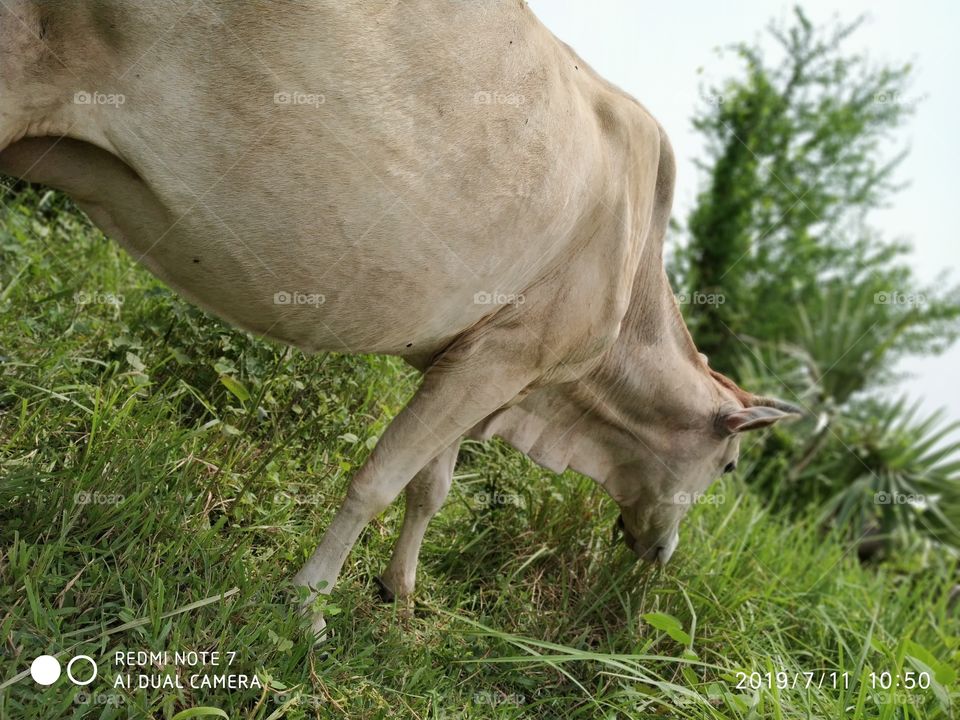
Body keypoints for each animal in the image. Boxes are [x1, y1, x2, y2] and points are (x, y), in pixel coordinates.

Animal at [0, 0, 800, 638]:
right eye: (730, 466)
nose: (661, 554)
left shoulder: (465, 358)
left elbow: (429, 487)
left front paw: (400, 595)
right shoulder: (505, 357)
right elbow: (380, 479)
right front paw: (308, 606)